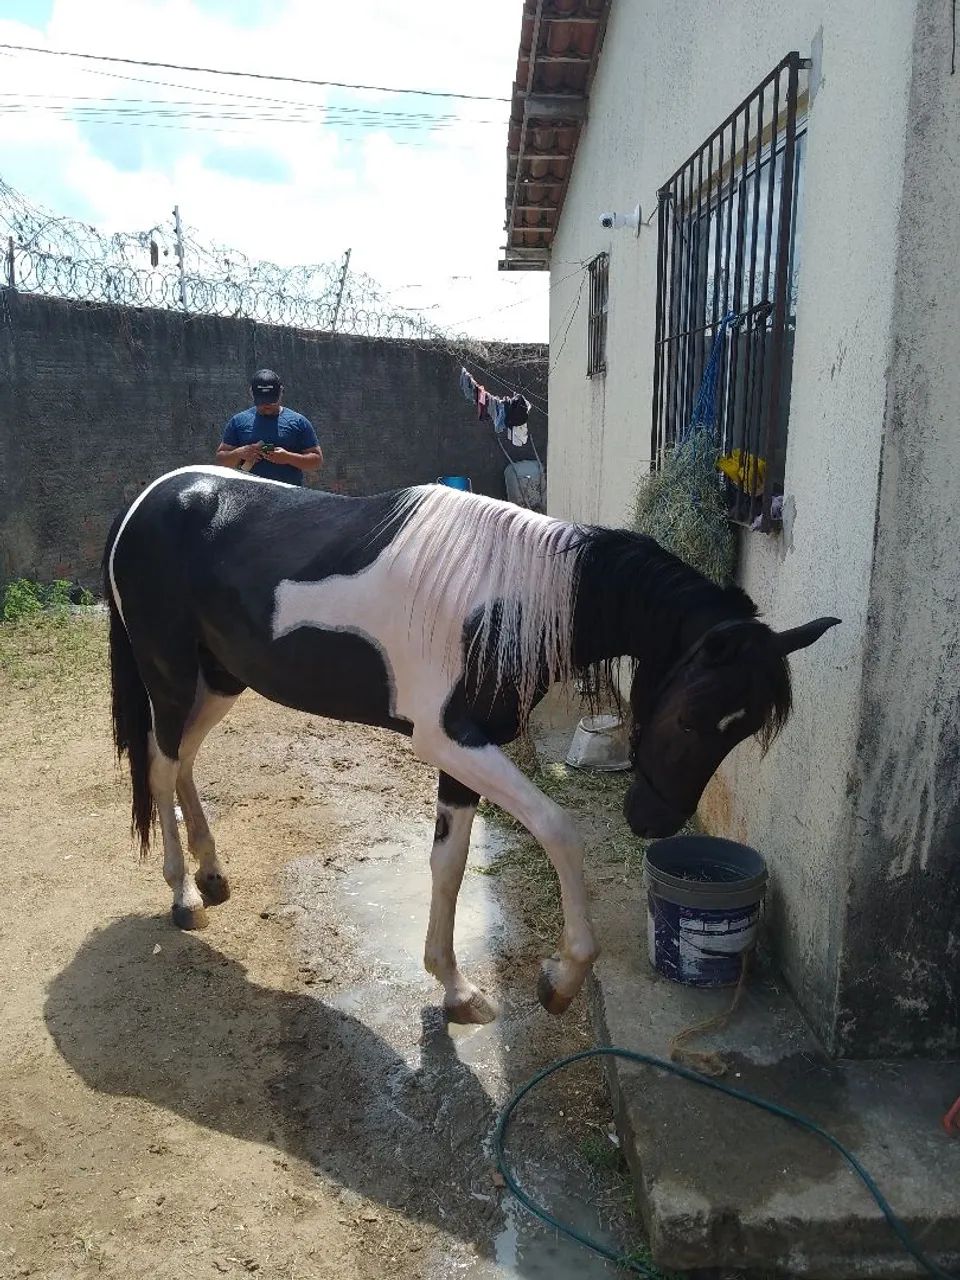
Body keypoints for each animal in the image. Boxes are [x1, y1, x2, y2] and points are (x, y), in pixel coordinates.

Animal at [104, 465, 838, 1024]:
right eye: (690, 718)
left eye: (742, 730)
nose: (652, 821)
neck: (509, 597)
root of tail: (148, 499)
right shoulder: (451, 742)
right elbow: (557, 829)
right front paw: (562, 978)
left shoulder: (464, 756)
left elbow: (450, 864)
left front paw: (454, 988)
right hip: (171, 680)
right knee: (161, 768)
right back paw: (183, 897)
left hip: (221, 682)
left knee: (184, 761)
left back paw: (212, 872)